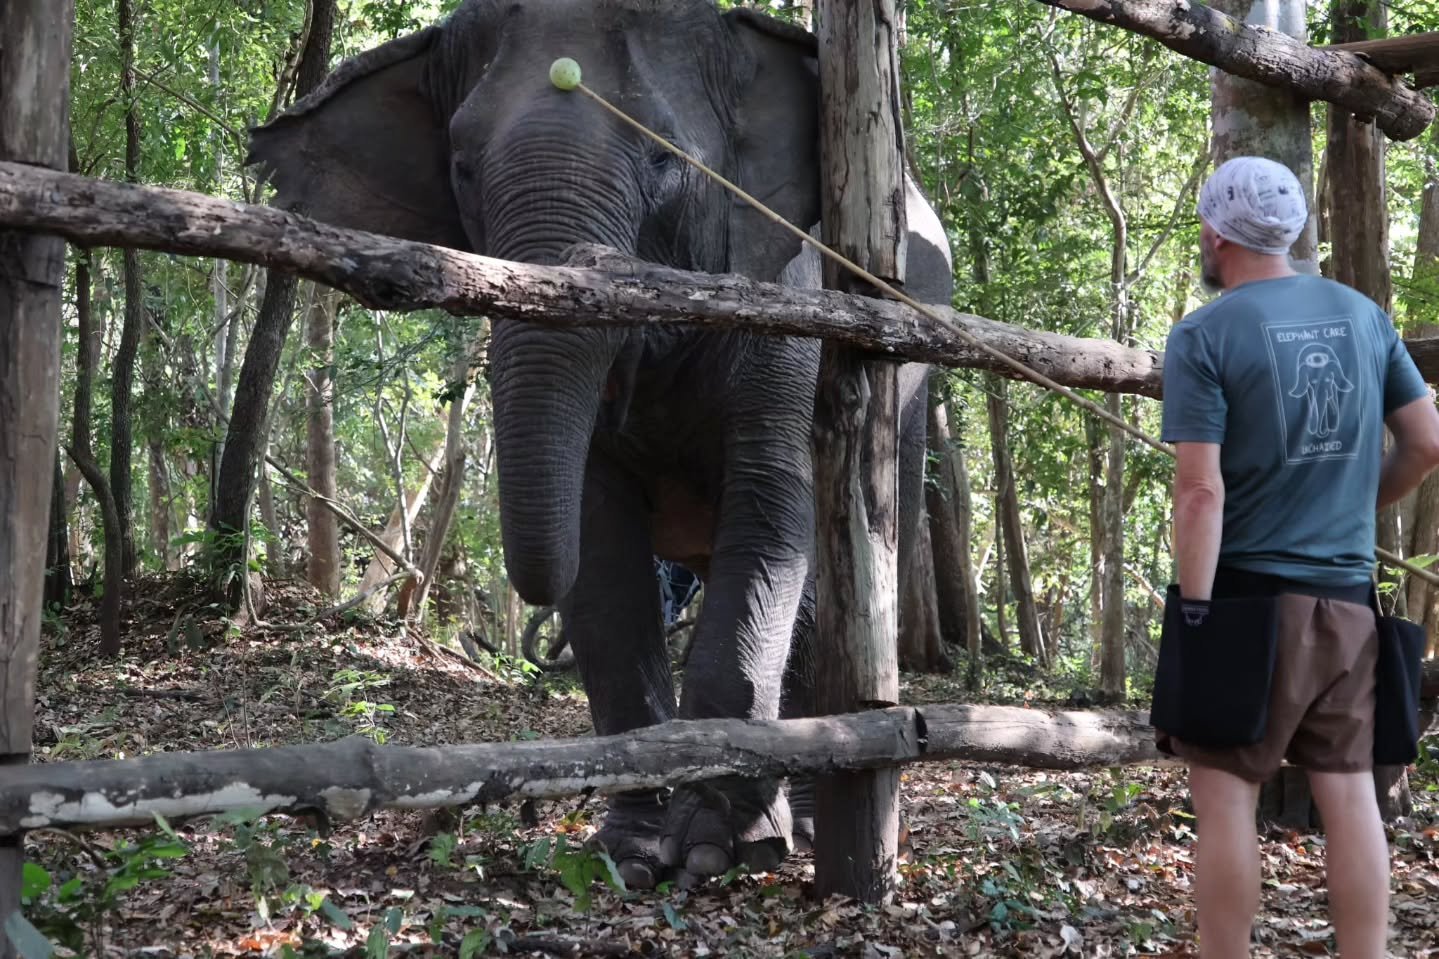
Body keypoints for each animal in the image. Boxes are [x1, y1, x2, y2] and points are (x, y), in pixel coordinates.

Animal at [247, 0, 954, 888]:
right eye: (462, 164)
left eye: (663, 158)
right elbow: (602, 550)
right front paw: (635, 852)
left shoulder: (793, 303)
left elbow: (770, 513)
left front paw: (717, 848)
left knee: (842, 568)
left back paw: (802, 823)